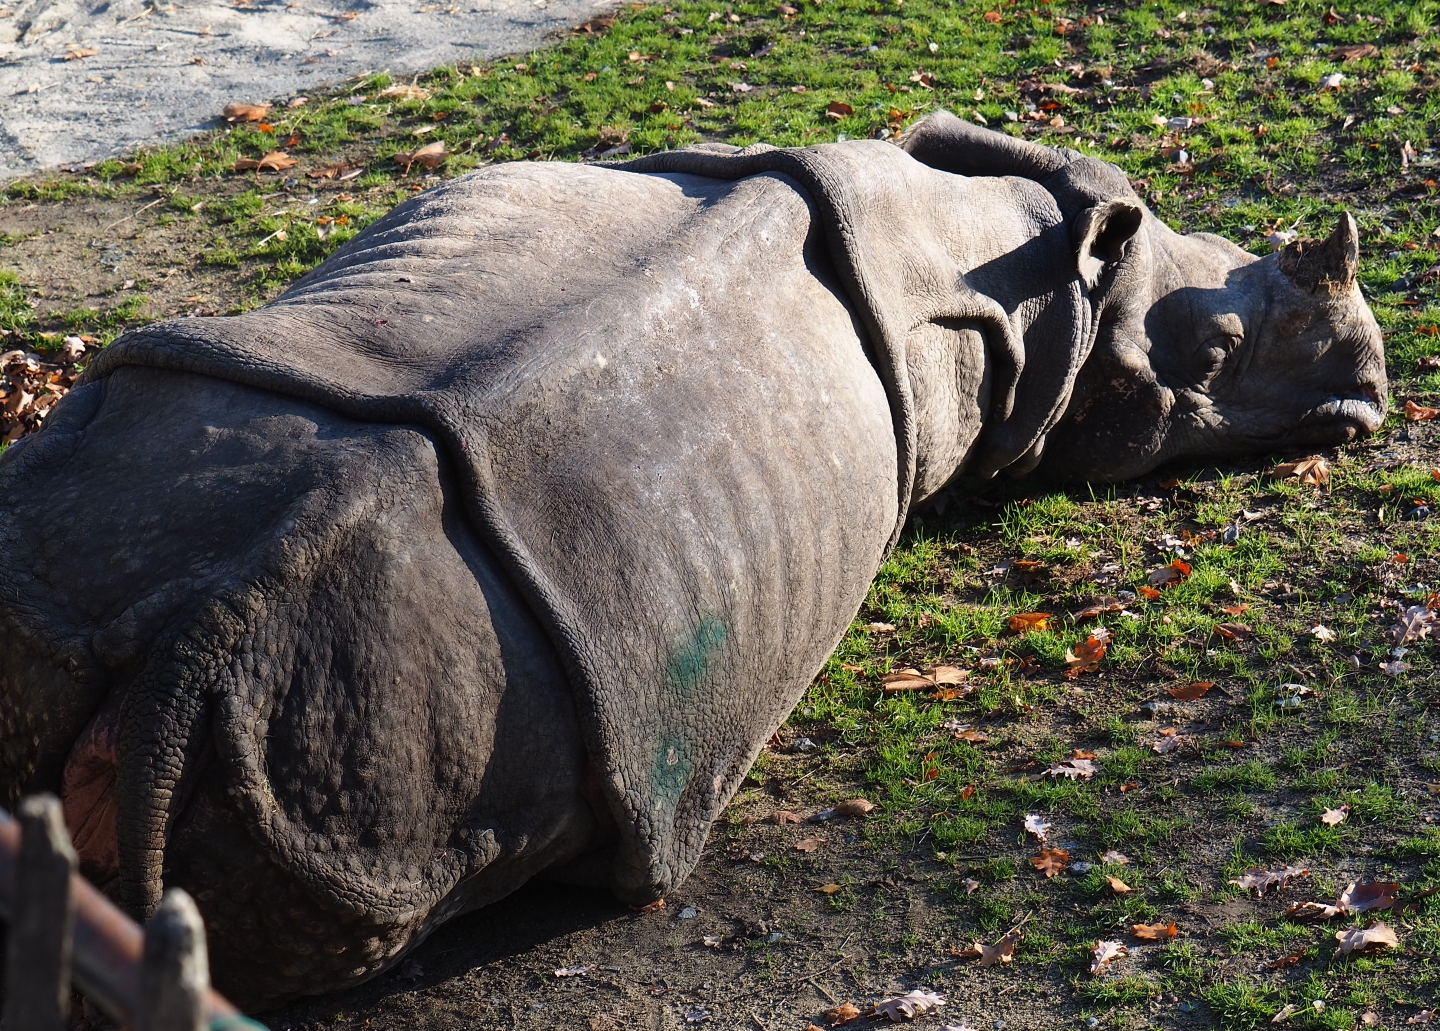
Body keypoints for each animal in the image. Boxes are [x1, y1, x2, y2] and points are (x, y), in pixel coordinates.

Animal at [0, 112, 1385, 1007]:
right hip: (393, 711)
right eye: (1210, 355)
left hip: (90, 535)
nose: (1371, 391)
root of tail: (194, 637)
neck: (1033, 262)